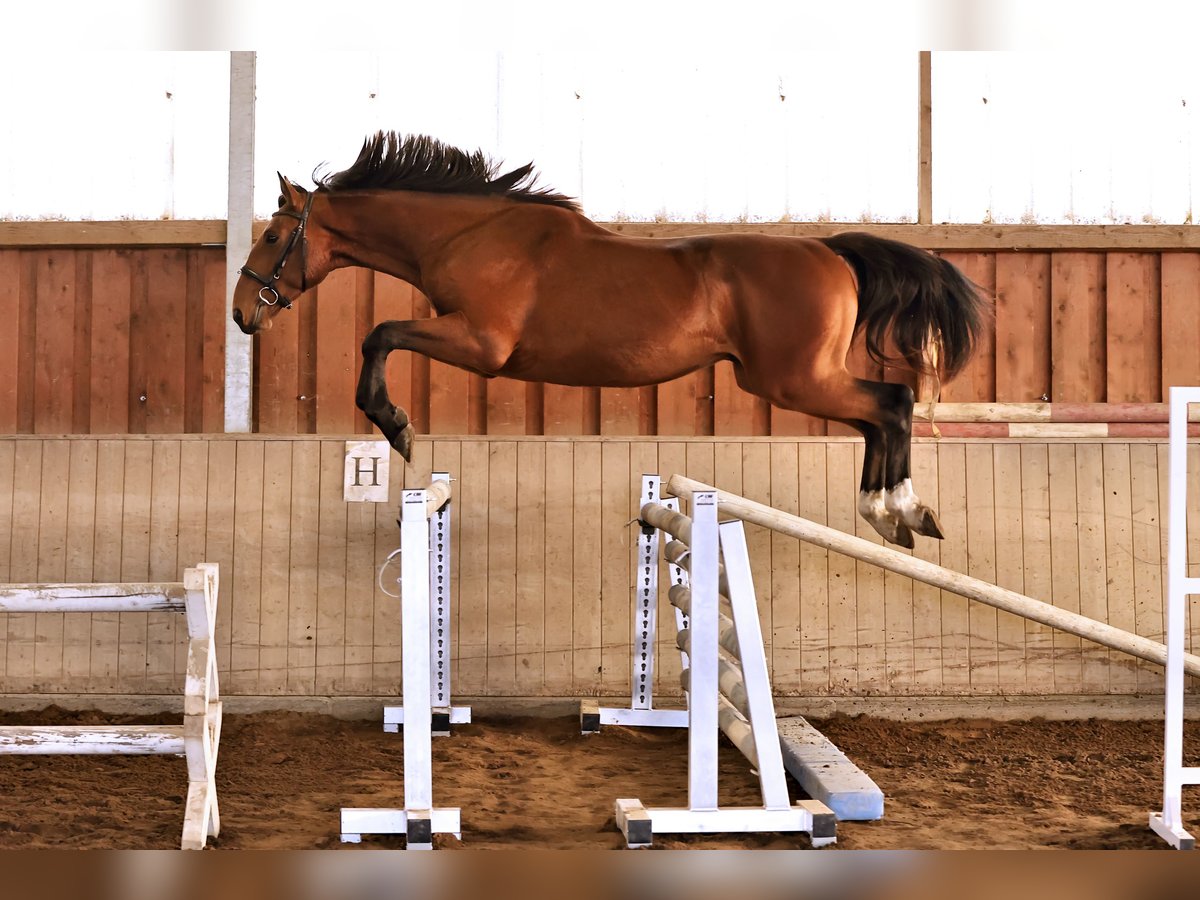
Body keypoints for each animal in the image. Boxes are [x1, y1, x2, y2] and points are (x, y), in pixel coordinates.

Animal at [229, 130, 988, 547]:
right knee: (881, 415)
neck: (470, 232)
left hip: (793, 379)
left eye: (270, 236)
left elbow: (379, 334)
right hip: (798, 379)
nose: (241, 312)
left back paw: (895, 510)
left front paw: (395, 426)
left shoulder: (480, 344)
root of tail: (830, 252)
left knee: (890, 404)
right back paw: (898, 516)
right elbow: (382, 336)